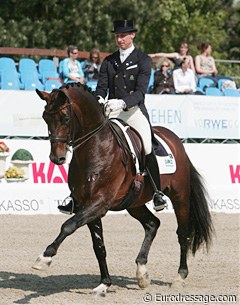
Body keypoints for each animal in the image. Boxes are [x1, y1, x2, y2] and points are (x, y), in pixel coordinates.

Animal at [32, 82, 214, 294]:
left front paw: (44, 257)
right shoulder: (88, 205)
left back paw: (179, 276)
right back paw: (142, 272)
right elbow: (98, 246)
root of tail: (176, 141)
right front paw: (104, 284)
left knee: (183, 234)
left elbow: (68, 225)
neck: (96, 148)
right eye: (45, 117)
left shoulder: (100, 203)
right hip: (134, 203)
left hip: (180, 196)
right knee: (152, 224)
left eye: (66, 118)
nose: (57, 158)